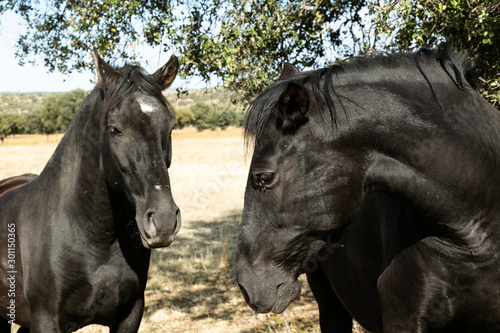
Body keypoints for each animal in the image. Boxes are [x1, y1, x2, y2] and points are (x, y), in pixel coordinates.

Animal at [0, 49, 180, 332]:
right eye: (114, 129)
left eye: (171, 127)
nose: (163, 220)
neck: (95, 237)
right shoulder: (46, 320)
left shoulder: (130, 315)